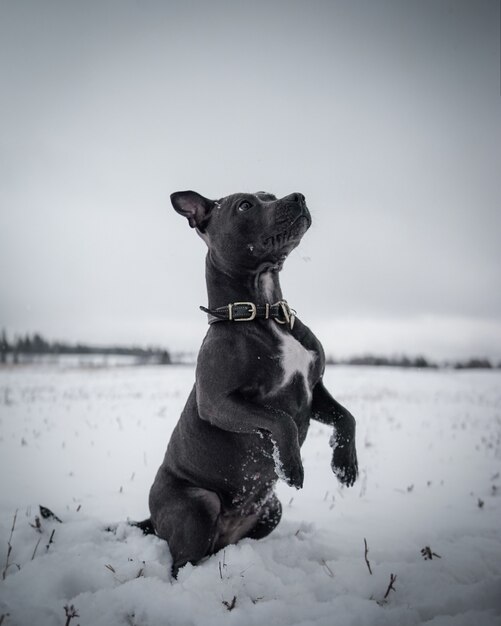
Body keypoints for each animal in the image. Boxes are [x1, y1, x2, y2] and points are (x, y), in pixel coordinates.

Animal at [143, 191, 358, 576]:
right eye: (245, 205)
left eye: (269, 196)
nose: (298, 196)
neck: (265, 309)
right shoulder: (219, 403)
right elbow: (281, 420)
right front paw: (291, 466)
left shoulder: (314, 389)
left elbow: (347, 416)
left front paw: (345, 464)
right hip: (199, 504)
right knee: (180, 563)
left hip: (271, 509)